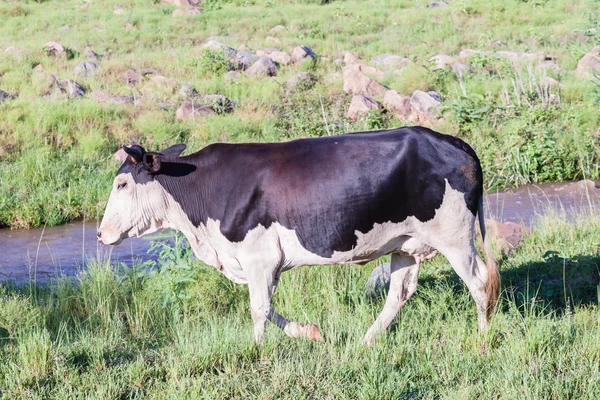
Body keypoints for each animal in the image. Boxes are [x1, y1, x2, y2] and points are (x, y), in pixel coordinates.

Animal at [99, 126, 502, 344]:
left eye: (122, 184)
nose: (102, 234)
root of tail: (453, 141)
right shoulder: (263, 262)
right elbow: (268, 307)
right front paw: (310, 332)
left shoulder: (259, 256)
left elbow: (259, 308)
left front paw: (257, 351)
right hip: (405, 242)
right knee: (398, 294)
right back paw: (366, 341)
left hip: (454, 236)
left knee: (480, 281)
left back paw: (482, 339)